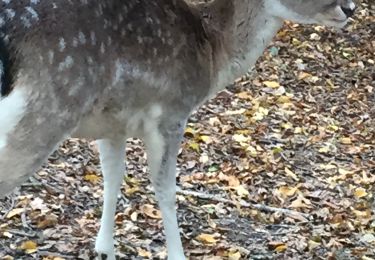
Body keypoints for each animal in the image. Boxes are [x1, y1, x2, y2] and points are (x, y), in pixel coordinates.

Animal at [0, 0, 356, 258]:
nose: (350, 8)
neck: (212, 53)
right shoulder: (171, 112)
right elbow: (166, 190)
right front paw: (177, 254)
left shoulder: (113, 122)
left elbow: (112, 177)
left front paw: (104, 249)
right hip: (41, 119)